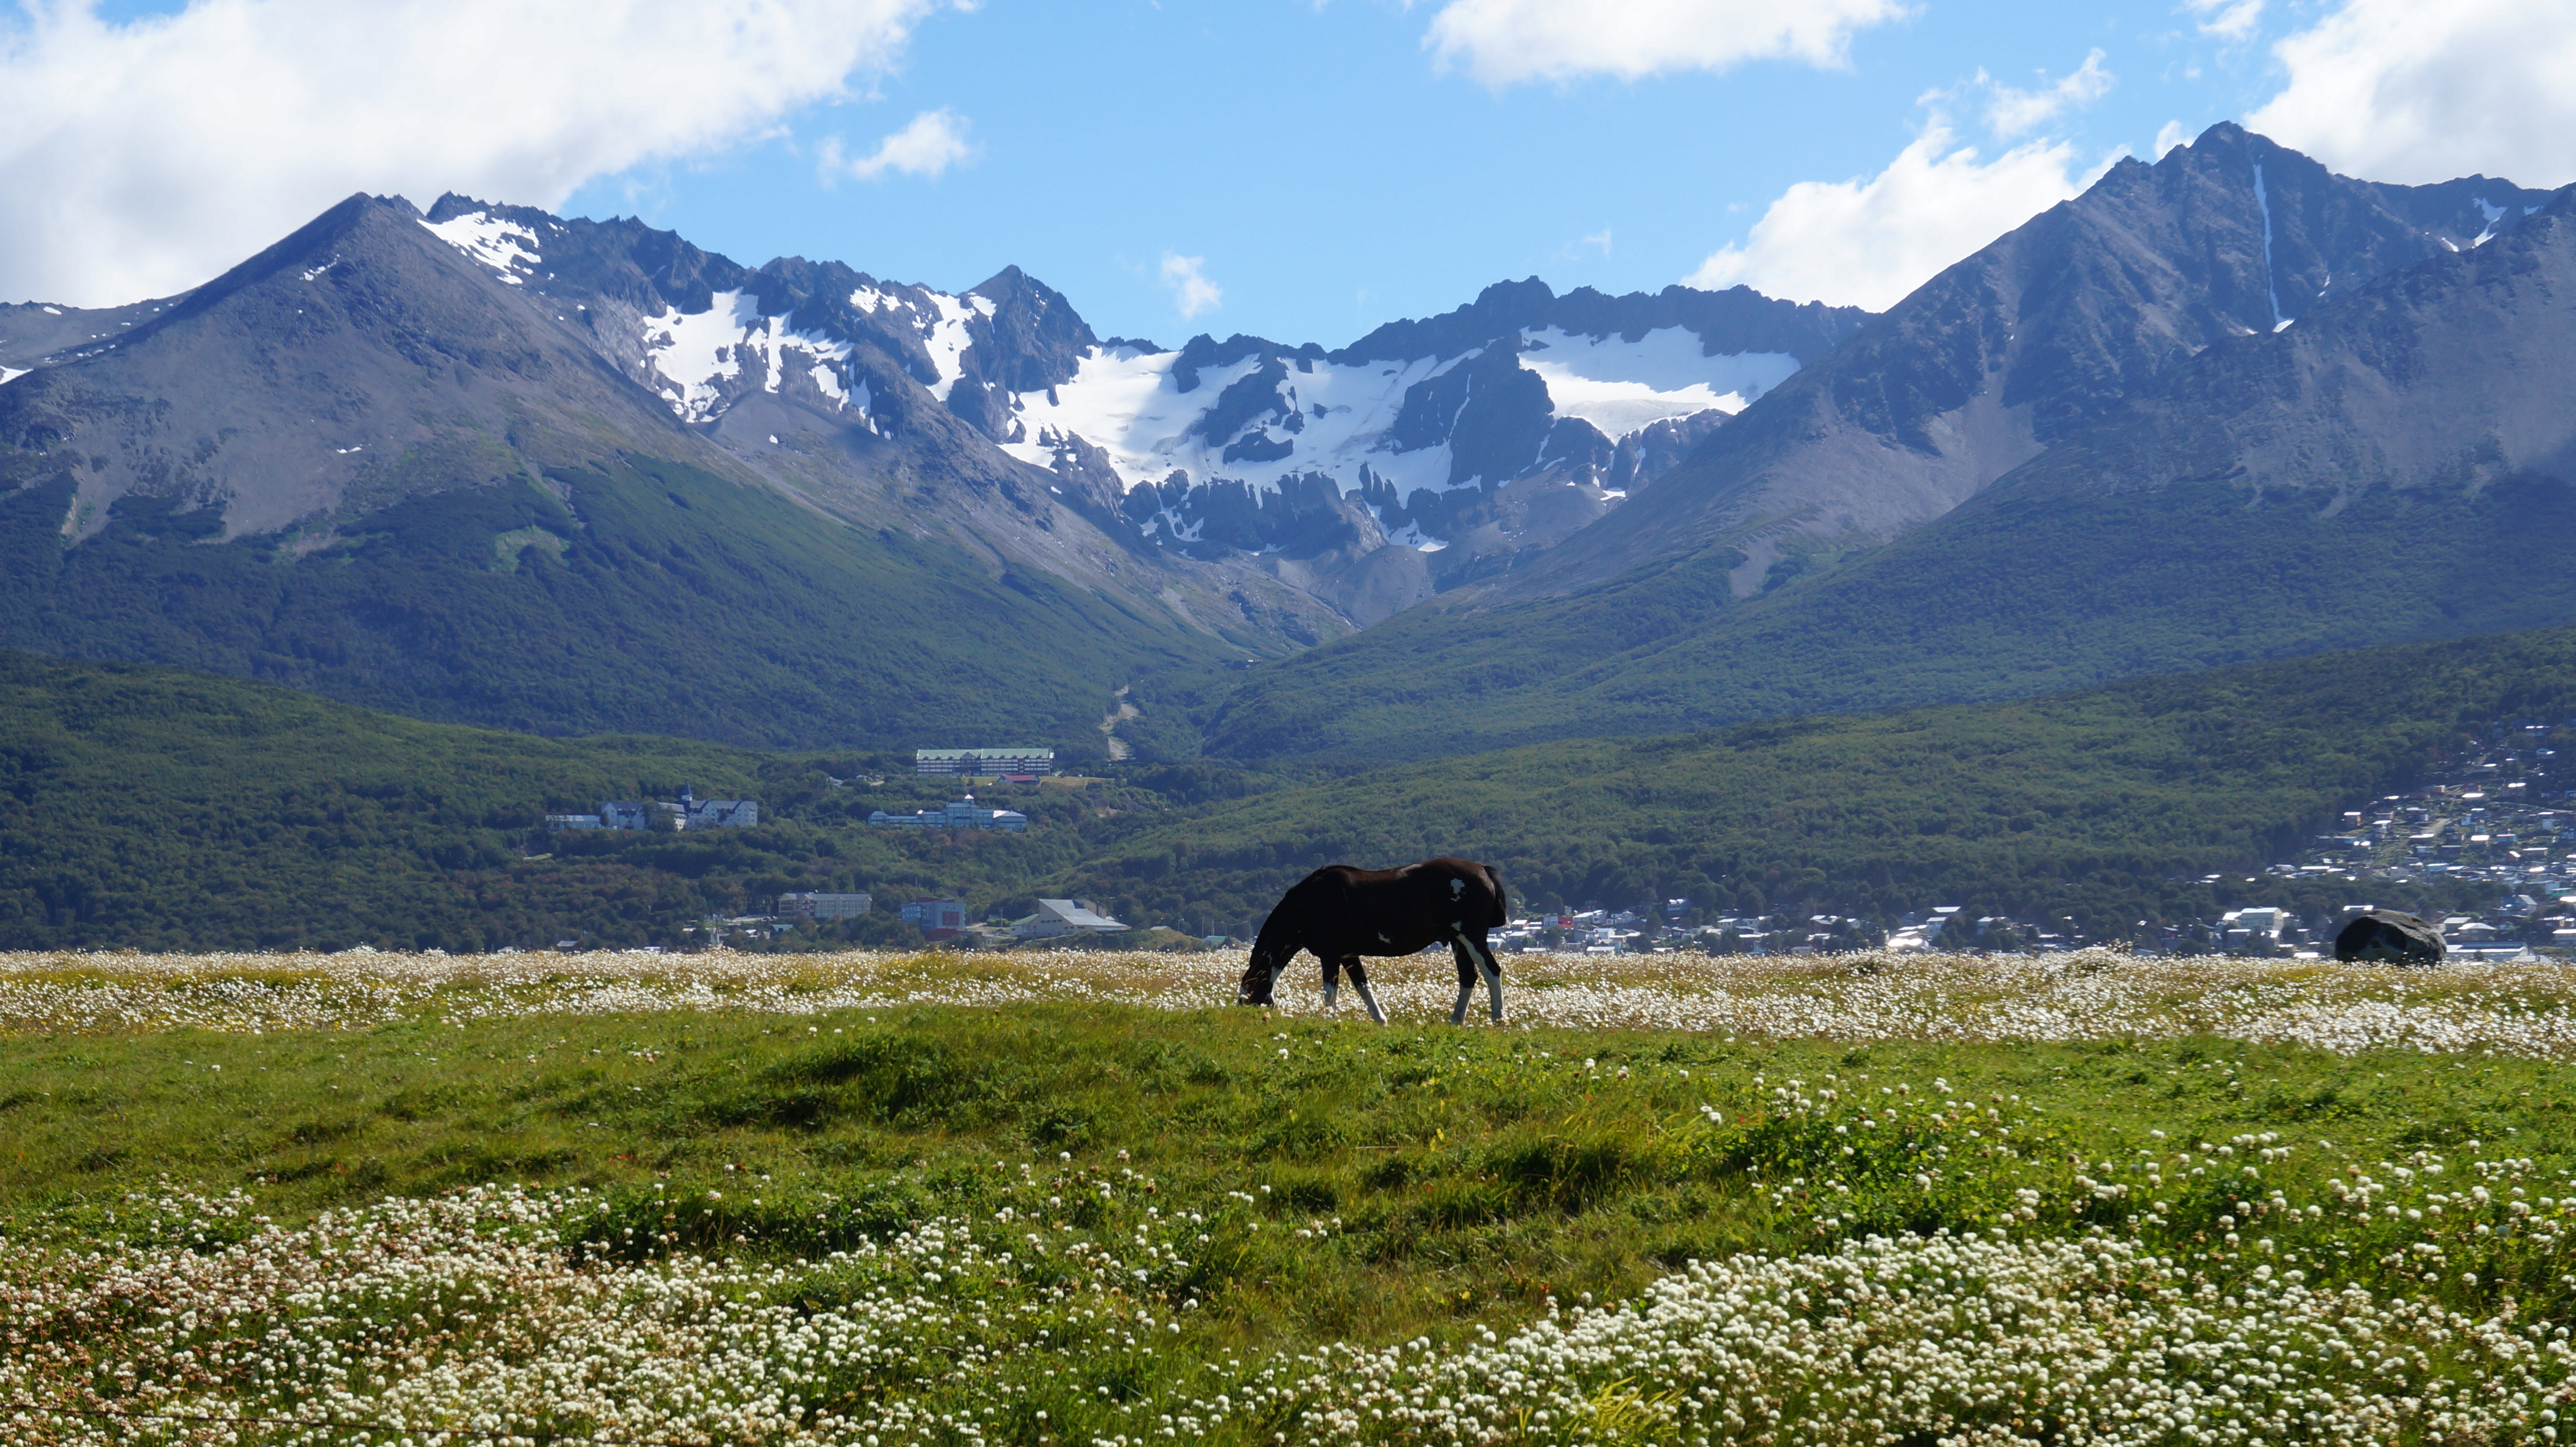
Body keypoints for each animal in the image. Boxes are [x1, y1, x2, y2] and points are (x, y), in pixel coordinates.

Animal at [1236, 857, 1510, 1025]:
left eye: (1248, 993)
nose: (1243, 1013)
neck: (1311, 901)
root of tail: (1483, 870)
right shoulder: (1348, 955)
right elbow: (1363, 986)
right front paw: (1380, 1019)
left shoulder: (1330, 955)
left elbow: (1330, 990)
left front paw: (1330, 1019)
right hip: (1457, 941)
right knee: (1468, 977)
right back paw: (1456, 1021)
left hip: (1472, 937)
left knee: (1492, 971)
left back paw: (1497, 1019)